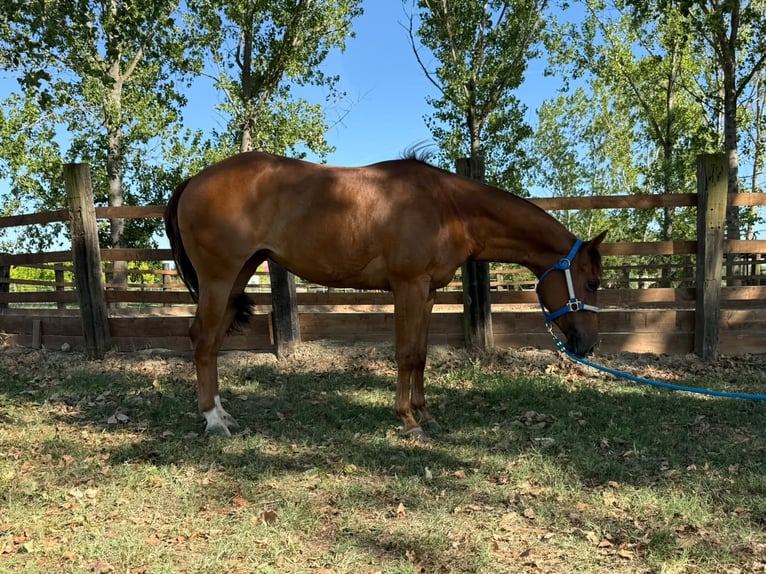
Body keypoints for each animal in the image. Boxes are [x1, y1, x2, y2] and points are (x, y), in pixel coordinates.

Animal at [164, 151, 607, 439]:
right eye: (592, 283)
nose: (588, 344)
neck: (447, 206)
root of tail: (193, 181)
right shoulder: (408, 287)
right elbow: (405, 354)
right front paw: (408, 421)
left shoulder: (427, 292)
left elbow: (421, 355)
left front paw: (426, 415)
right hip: (219, 279)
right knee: (202, 340)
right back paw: (213, 421)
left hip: (238, 276)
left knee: (213, 343)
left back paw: (224, 414)